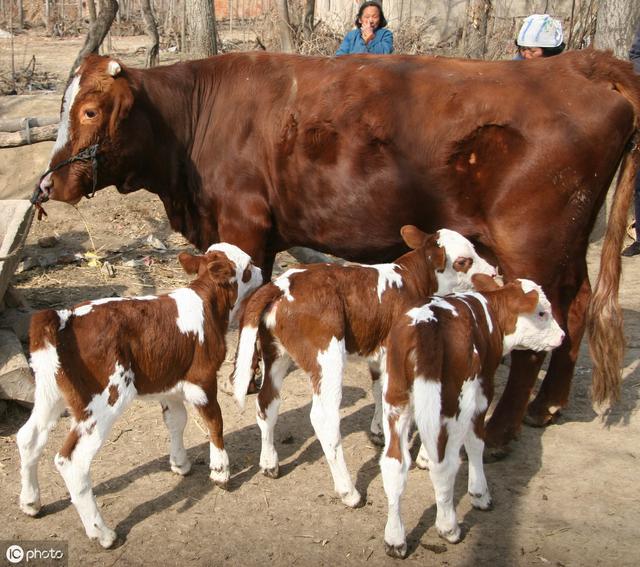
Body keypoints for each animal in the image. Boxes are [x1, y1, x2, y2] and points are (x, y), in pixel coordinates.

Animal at [17, 243, 262, 544]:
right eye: (248, 267)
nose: (262, 272)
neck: (208, 305)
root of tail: (64, 317)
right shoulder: (202, 378)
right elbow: (214, 422)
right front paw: (220, 471)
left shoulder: (170, 381)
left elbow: (176, 421)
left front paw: (180, 463)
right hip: (104, 400)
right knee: (72, 461)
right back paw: (102, 533)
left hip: (50, 393)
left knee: (28, 437)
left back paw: (31, 503)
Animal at [32, 51, 640, 454]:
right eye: (63, 107)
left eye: (90, 112)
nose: (51, 183)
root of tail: (575, 67)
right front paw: (253, 372)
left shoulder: (243, 225)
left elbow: (244, 305)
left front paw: (240, 375)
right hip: (567, 247)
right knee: (576, 310)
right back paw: (546, 406)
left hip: (531, 247)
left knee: (537, 329)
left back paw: (501, 428)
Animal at [232, 229, 498, 508]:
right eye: (463, 261)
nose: (493, 272)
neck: (412, 281)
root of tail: (281, 284)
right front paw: (423, 455)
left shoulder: (381, 353)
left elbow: (378, 389)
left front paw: (378, 430)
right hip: (327, 357)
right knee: (324, 419)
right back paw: (349, 492)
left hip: (275, 352)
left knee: (267, 402)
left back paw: (269, 464)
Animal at [380, 276, 564, 560]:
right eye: (542, 313)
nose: (562, 336)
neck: (490, 311)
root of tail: (425, 327)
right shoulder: (484, 389)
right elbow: (476, 442)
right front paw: (480, 493)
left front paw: (423, 456)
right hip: (453, 399)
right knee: (444, 465)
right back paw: (448, 527)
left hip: (395, 397)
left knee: (394, 463)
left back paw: (395, 538)